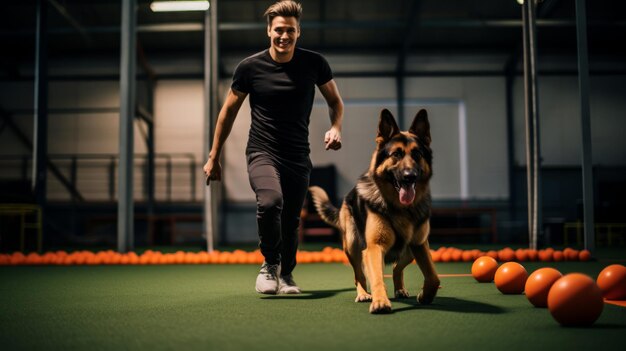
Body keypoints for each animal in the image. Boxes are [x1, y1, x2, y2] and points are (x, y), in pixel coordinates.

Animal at [308, 109, 438, 314]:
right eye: (396, 154)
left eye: (417, 154)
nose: (409, 177)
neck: (400, 208)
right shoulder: (375, 247)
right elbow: (376, 277)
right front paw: (380, 301)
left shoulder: (419, 245)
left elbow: (433, 277)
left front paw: (425, 296)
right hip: (353, 246)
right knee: (360, 275)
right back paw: (363, 294)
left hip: (410, 251)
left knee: (396, 268)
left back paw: (399, 289)